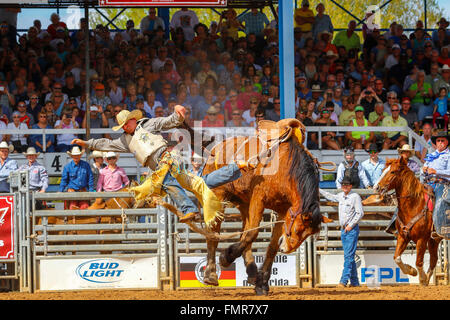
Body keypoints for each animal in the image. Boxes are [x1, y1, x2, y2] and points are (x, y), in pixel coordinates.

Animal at [202, 119, 332, 296]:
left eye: (309, 235)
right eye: (297, 229)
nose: (286, 249)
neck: (286, 168)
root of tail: (216, 149)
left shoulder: (283, 211)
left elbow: (270, 245)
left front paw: (262, 283)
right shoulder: (259, 199)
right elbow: (252, 234)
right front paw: (226, 257)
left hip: (244, 203)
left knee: (244, 231)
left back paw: (251, 272)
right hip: (219, 197)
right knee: (213, 234)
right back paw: (211, 274)